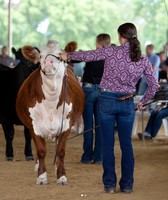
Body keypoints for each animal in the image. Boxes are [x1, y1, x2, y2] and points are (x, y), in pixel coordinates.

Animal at [15, 40, 84, 184]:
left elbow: (61, 151)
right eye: (41, 56)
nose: (48, 62)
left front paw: (61, 176)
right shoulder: (34, 125)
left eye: (59, 54)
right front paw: (41, 176)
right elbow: (41, 150)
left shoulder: (66, 124)